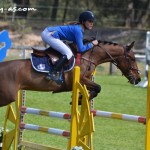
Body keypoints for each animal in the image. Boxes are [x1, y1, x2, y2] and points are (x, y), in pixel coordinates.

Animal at [0, 40, 141, 107]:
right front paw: (79, 100)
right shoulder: (80, 80)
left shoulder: (86, 81)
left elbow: (95, 89)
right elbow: (98, 87)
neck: (87, 57)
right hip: (7, 96)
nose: (138, 78)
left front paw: (80, 98)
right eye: (132, 58)